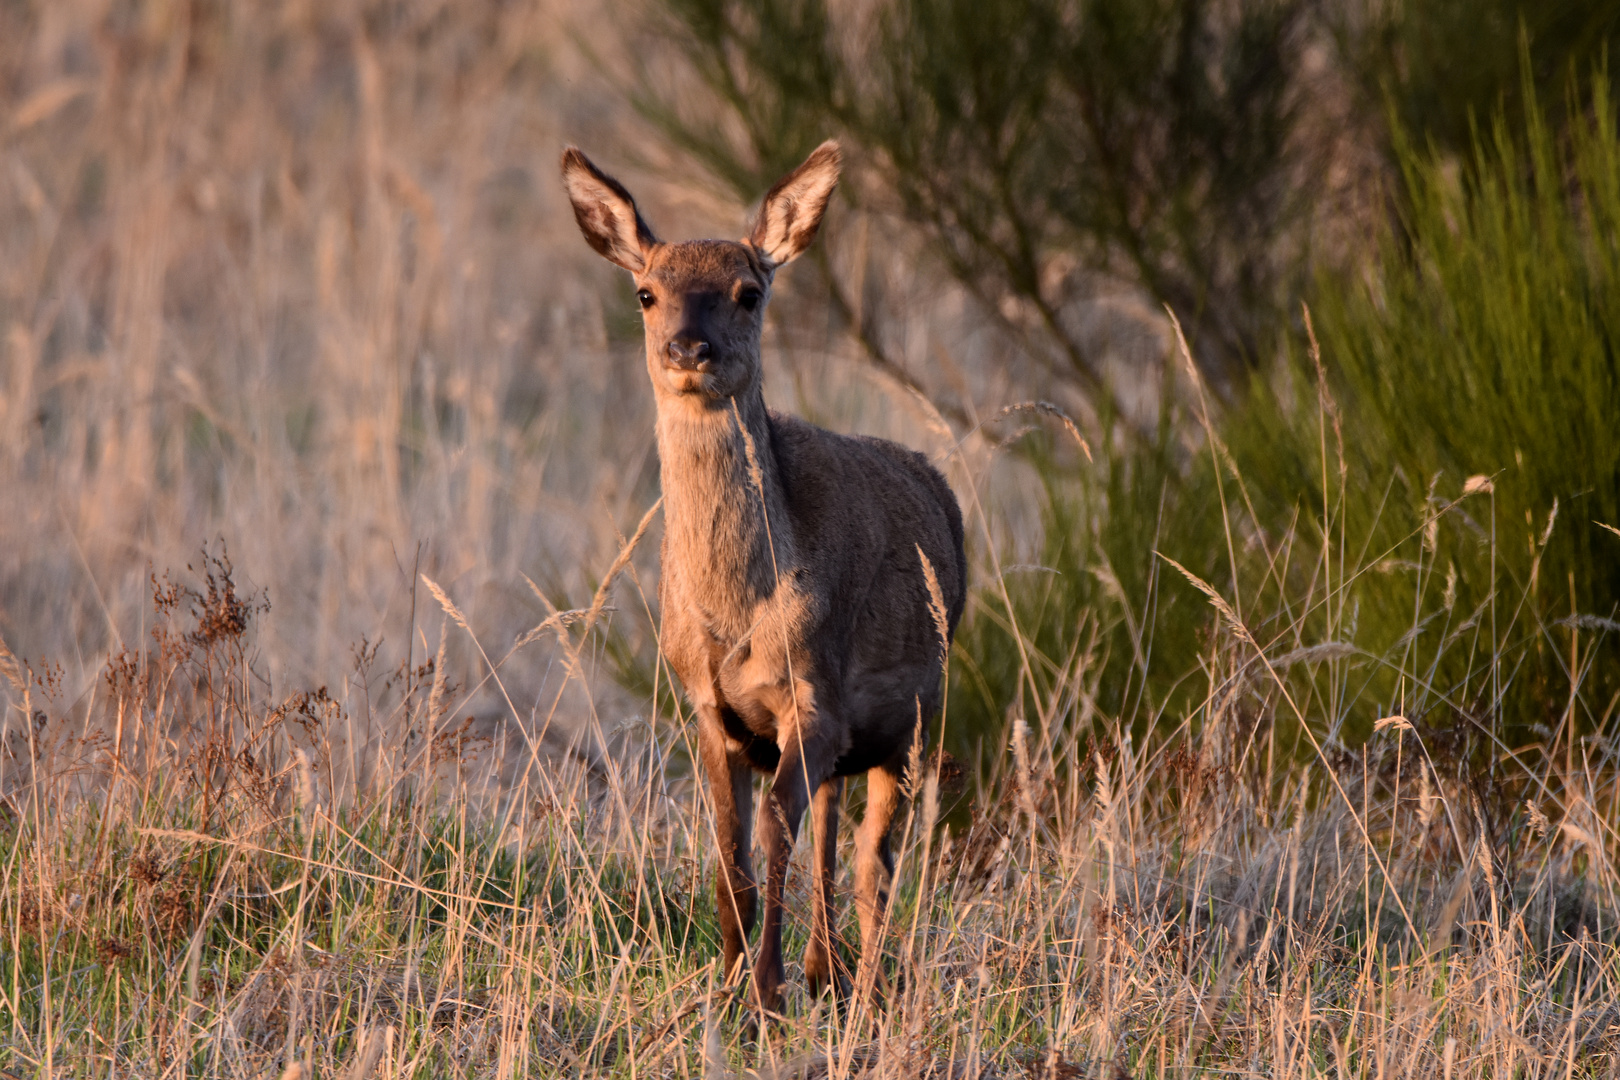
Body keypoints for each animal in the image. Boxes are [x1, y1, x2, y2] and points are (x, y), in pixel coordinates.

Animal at [560, 137, 959, 1016]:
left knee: (875, 863)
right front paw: (730, 984)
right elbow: (731, 856)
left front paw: (766, 994)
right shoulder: (709, 708)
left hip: (915, 721)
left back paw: (862, 988)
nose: (688, 349)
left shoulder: (812, 695)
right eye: (646, 292)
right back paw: (823, 971)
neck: (736, 612)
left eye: (748, 291)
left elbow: (777, 842)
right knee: (835, 836)